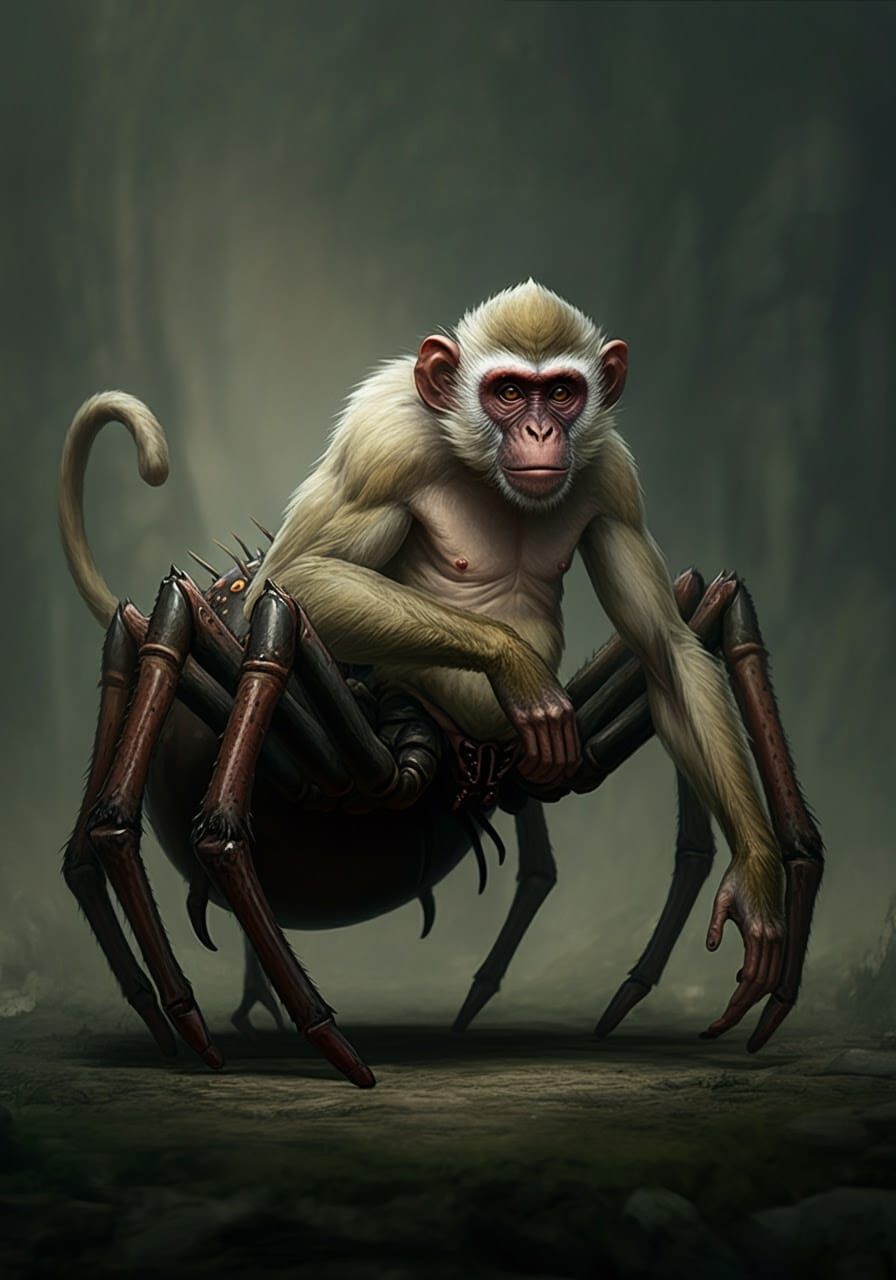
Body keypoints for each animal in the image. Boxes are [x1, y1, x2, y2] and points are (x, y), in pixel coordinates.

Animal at [244, 280, 785, 1035]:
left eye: (560, 392)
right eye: (506, 391)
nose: (538, 432)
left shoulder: (613, 477)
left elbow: (669, 651)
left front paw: (760, 883)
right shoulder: (382, 442)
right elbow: (291, 580)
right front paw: (518, 667)